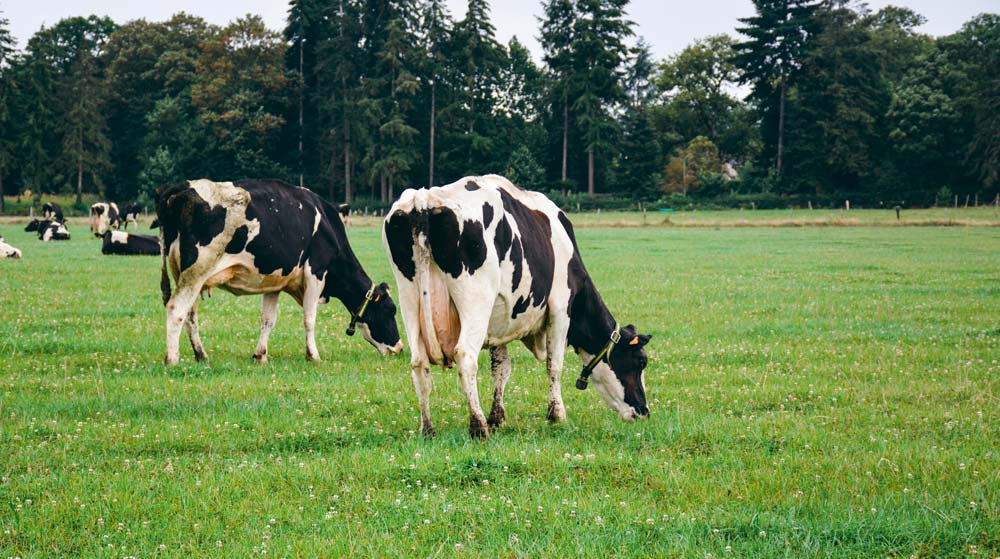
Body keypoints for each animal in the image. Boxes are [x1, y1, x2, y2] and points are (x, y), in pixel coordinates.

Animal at [156, 177, 402, 366]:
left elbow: (268, 319)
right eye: (390, 310)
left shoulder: (274, 279)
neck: (327, 226)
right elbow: (309, 318)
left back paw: (201, 355)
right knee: (176, 310)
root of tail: (182, 187)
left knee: (191, 316)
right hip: (197, 270)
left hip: (183, 273)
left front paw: (260, 355)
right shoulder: (316, 272)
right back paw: (172, 359)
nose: (399, 348)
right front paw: (313, 355)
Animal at [378, 173, 652, 440]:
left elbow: (501, 369)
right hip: (475, 301)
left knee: (418, 363)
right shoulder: (560, 309)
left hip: (409, 299)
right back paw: (478, 427)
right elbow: (554, 364)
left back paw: (428, 429)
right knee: (465, 357)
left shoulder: (499, 320)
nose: (644, 411)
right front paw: (557, 415)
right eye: (640, 362)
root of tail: (424, 198)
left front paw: (497, 417)